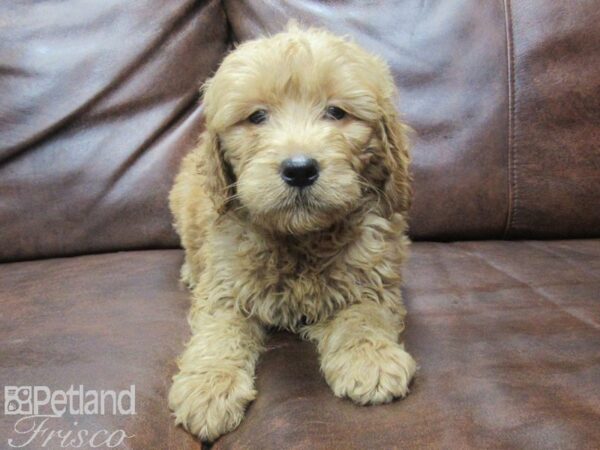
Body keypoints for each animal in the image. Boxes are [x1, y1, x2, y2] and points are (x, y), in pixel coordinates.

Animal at [166, 24, 414, 440]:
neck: (301, 238)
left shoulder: (373, 276)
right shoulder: (225, 286)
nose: (299, 169)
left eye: (336, 112)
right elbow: (218, 333)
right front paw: (208, 386)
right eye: (257, 117)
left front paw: (370, 360)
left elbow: (364, 316)